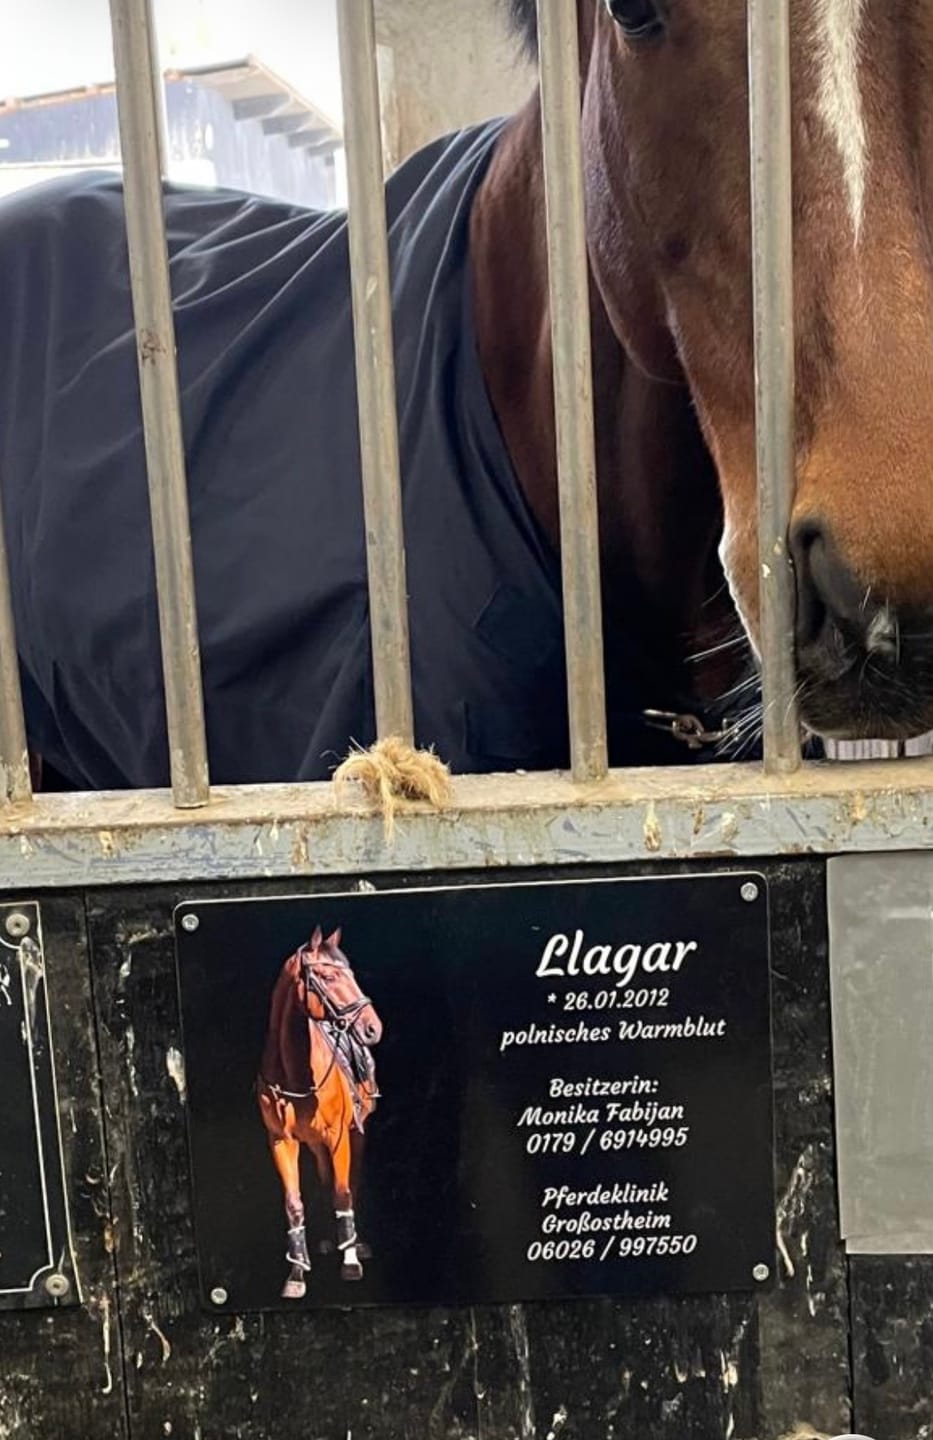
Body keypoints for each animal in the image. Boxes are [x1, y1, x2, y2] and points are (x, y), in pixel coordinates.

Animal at [257, 926, 382, 1300]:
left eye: (350, 973)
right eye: (328, 976)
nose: (373, 1028)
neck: (294, 1074)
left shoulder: (340, 1136)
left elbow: (344, 1192)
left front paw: (351, 1262)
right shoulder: (281, 1141)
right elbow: (294, 1205)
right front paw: (297, 1273)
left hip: (356, 1134)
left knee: (350, 1180)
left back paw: (355, 1244)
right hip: (314, 1144)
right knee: (327, 1180)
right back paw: (331, 1240)